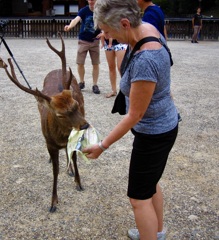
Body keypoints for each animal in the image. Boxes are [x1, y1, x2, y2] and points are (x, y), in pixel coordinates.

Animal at [0, 32, 89, 213]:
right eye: (60, 114)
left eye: (76, 104)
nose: (84, 125)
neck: (61, 137)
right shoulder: (50, 143)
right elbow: (55, 171)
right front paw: (53, 202)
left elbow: (74, 158)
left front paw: (78, 182)